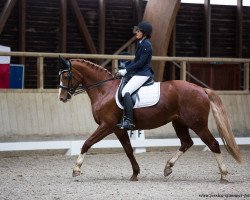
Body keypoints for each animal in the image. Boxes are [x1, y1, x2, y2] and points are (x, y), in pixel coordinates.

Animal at [58, 57, 242, 181]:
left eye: (66, 76)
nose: (62, 98)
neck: (104, 90)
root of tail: (201, 89)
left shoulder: (107, 125)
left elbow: (87, 143)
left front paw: (76, 169)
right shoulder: (119, 129)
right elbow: (128, 150)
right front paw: (135, 173)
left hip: (198, 124)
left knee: (213, 144)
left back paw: (224, 175)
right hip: (179, 122)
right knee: (186, 142)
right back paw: (168, 167)